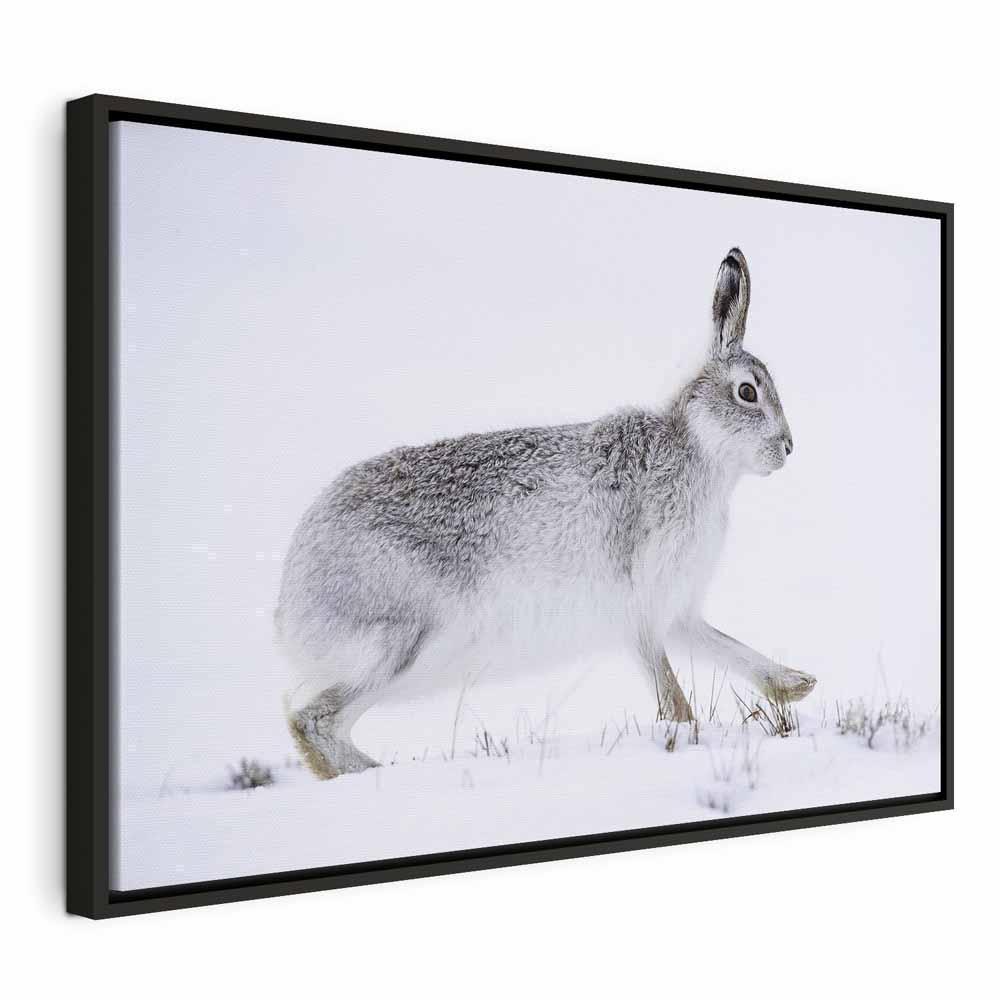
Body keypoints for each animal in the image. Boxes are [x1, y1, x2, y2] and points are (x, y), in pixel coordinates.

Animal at [275, 247, 816, 778]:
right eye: (747, 392)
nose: (788, 447)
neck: (697, 450)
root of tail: (291, 598)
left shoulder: (676, 608)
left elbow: (725, 646)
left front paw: (796, 685)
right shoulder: (640, 602)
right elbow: (670, 689)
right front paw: (686, 734)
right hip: (401, 644)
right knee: (312, 721)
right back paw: (378, 773)